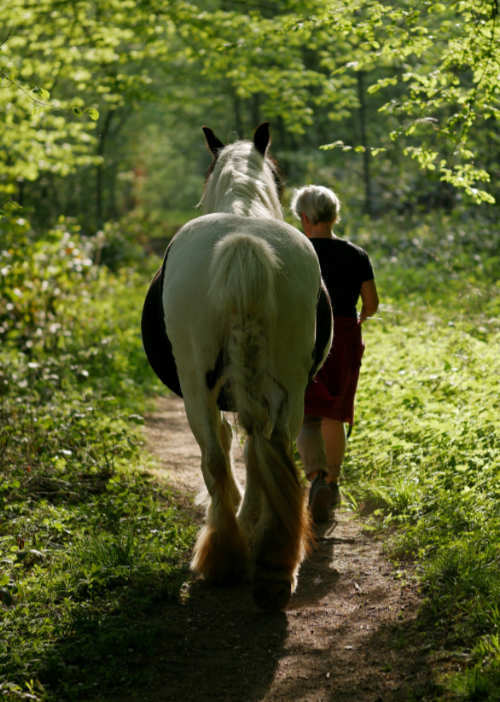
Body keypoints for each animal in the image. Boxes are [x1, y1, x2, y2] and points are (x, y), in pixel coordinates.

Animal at [142, 122, 332, 612]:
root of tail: (245, 245)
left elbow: (227, 451)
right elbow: (250, 447)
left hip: (196, 388)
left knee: (214, 456)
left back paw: (223, 557)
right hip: (292, 386)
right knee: (273, 447)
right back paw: (274, 568)